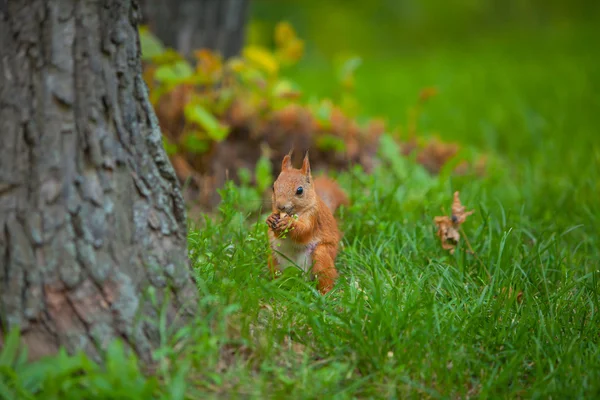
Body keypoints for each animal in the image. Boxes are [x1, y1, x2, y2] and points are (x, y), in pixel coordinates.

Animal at [266, 150, 350, 294]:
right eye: (273, 187)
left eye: (300, 190)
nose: (280, 206)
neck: (295, 213)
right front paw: (271, 218)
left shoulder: (313, 216)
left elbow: (304, 231)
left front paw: (290, 224)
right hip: (273, 256)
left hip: (322, 255)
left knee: (326, 278)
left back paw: (325, 294)